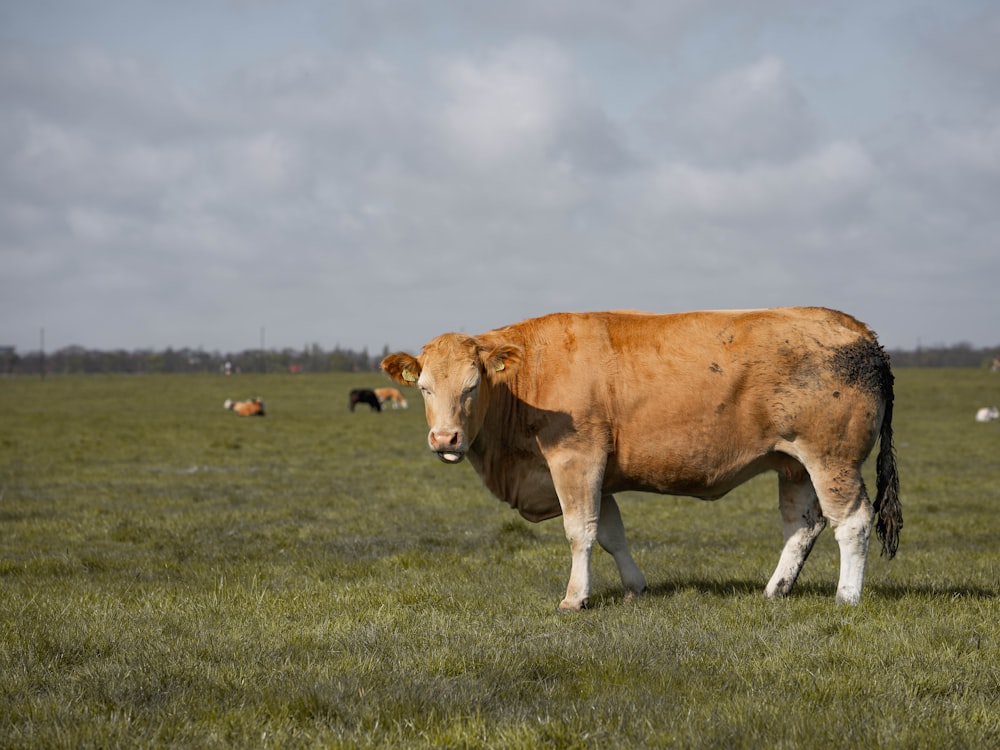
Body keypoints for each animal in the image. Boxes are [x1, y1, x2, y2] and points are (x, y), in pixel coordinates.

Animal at [380, 310, 900, 612]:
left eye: (472, 386)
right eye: (424, 388)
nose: (445, 437)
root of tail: (859, 330)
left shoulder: (576, 460)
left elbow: (580, 531)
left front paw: (575, 598)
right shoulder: (599, 474)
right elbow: (611, 533)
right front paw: (634, 587)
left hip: (832, 458)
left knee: (852, 521)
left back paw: (847, 598)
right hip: (794, 464)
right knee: (803, 525)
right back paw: (775, 590)